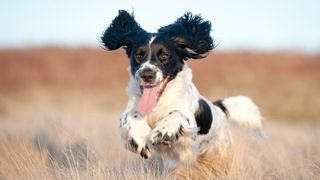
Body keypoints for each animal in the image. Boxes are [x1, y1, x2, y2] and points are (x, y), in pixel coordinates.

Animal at [100, 10, 264, 179]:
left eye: (164, 56)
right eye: (138, 55)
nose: (147, 74)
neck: (158, 102)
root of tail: (218, 108)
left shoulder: (188, 125)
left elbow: (176, 114)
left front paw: (161, 132)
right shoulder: (129, 113)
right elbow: (131, 115)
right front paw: (141, 139)